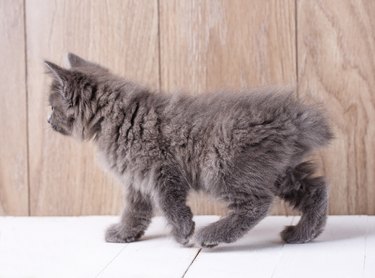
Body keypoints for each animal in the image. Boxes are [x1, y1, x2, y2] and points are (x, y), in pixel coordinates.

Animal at [45, 52, 334, 248]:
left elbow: (170, 204)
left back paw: (211, 235)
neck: (116, 118)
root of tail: (294, 119)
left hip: (223, 166)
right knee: (317, 189)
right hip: (281, 171)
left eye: (51, 107)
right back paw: (303, 233)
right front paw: (124, 233)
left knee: (257, 204)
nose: (47, 121)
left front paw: (184, 233)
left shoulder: (162, 171)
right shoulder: (137, 182)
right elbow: (135, 211)